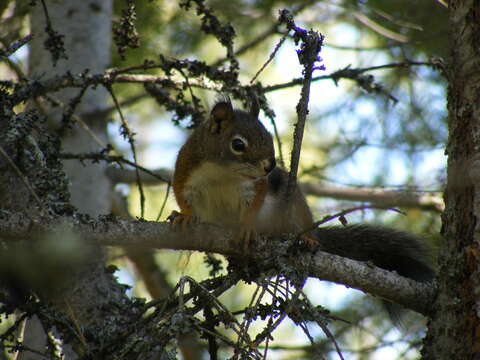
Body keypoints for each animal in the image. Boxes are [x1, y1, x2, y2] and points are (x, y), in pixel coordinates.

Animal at [170, 99, 436, 306]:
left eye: (269, 136)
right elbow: (182, 197)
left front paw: (246, 226)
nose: (271, 166)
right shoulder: (185, 172)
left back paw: (307, 239)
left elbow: (254, 205)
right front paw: (184, 215)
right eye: (238, 144)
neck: (223, 173)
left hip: (295, 206)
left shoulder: (258, 185)